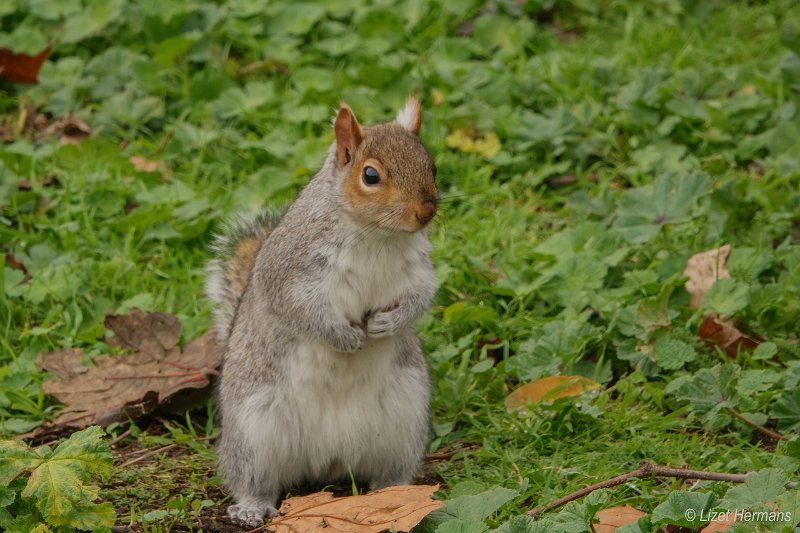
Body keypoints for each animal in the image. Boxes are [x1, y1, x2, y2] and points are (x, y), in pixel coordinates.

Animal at [206, 97, 438, 524]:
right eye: (370, 175)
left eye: (431, 166)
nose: (425, 212)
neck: (377, 235)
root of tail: (326, 462)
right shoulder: (290, 268)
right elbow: (298, 309)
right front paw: (343, 337)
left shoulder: (417, 270)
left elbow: (421, 296)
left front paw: (388, 322)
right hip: (253, 429)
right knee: (253, 478)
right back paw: (251, 507)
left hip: (405, 420)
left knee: (389, 470)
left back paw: (395, 493)